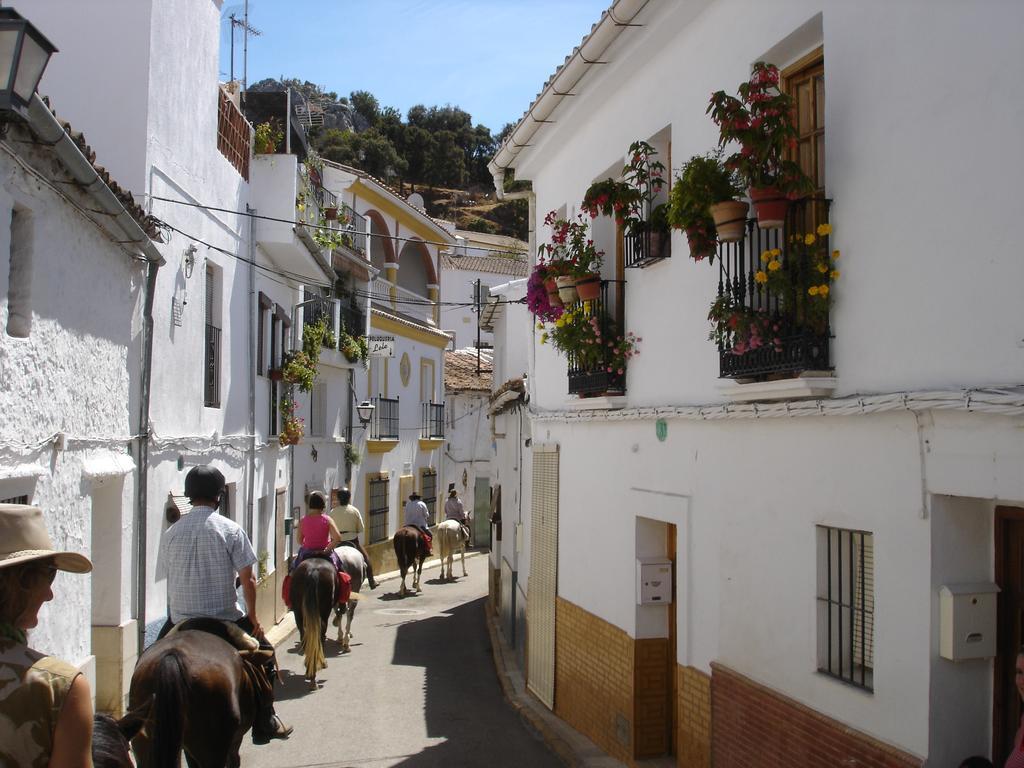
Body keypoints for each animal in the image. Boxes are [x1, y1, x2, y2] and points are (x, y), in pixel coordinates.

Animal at [288, 557, 335, 688]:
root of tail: (312, 570)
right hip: (324, 609)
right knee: (320, 633)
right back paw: (314, 674)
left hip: (298, 611)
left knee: (304, 633)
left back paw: (310, 672)